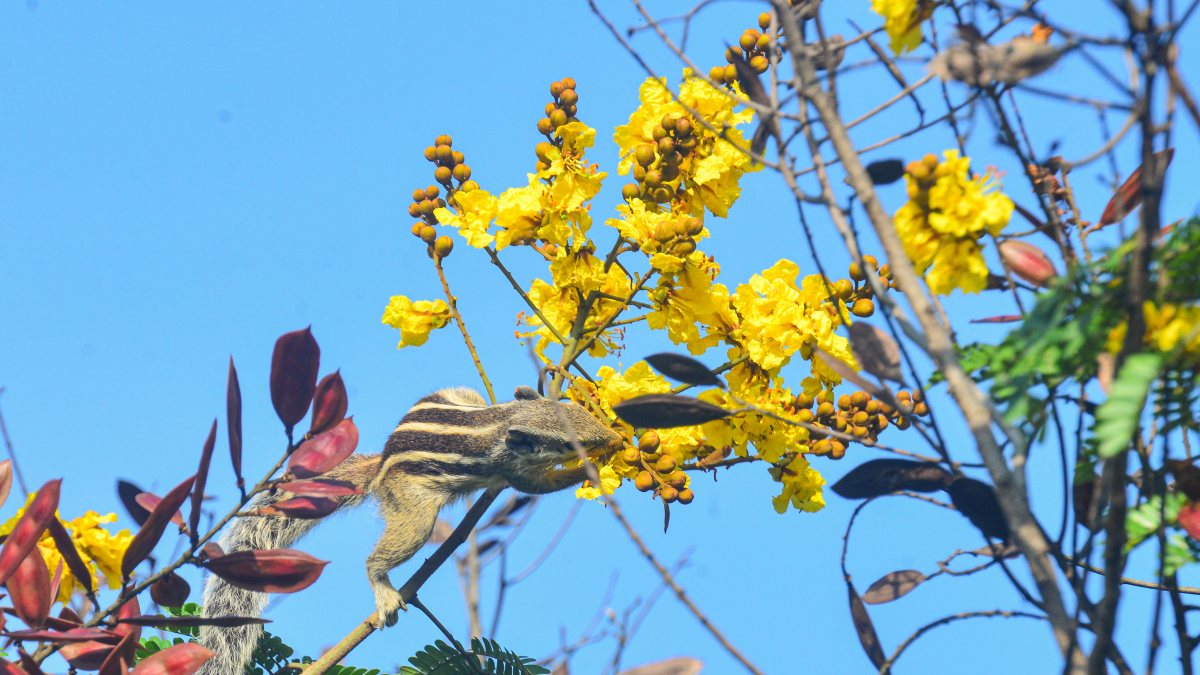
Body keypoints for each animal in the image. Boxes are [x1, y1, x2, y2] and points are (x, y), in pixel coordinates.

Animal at [197, 386, 623, 674]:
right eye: (568, 443)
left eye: (575, 410)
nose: (613, 437)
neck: (501, 421)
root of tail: (381, 465)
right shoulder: (517, 472)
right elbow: (539, 486)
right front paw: (590, 468)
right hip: (414, 516)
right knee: (377, 559)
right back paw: (384, 591)